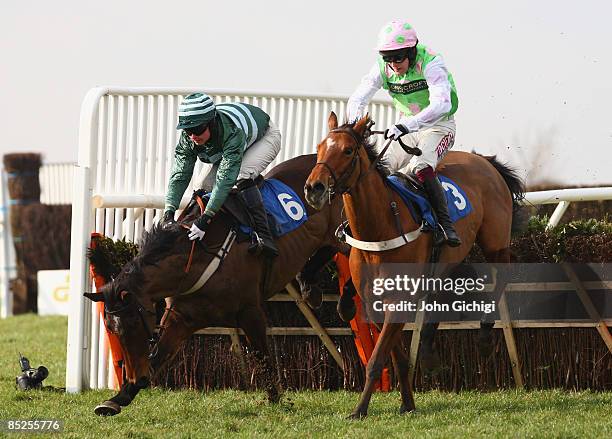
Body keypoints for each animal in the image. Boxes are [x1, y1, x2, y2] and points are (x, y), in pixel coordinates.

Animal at [84, 156, 346, 418]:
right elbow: (158, 355)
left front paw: (275, 399)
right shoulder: (181, 318)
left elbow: (262, 355)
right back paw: (309, 287)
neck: (196, 257)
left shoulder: (250, 311)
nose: (134, 376)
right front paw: (117, 398)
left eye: (134, 324)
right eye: (111, 328)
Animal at [304, 111, 524, 418]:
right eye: (321, 147)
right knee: (448, 286)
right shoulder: (374, 301)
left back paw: (482, 337)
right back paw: (430, 351)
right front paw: (407, 403)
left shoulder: (399, 301)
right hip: (449, 258)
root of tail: (484, 161)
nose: (314, 188)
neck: (380, 228)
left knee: (503, 275)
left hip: (495, 243)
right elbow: (394, 355)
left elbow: (377, 357)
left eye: (347, 150)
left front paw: (360, 409)